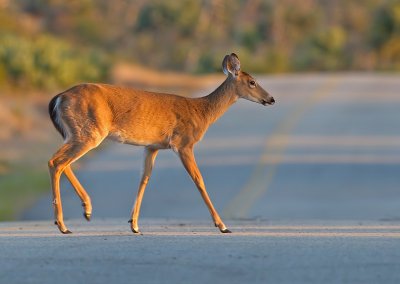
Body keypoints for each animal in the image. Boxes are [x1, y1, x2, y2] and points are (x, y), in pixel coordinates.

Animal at [47, 52, 276, 233]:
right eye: (252, 81)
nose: (271, 99)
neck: (202, 112)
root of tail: (59, 97)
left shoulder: (152, 146)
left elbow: (144, 179)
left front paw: (134, 225)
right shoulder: (183, 143)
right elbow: (198, 179)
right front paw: (222, 225)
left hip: (76, 133)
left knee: (62, 162)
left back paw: (86, 210)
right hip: (89, 132)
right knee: (56, 162)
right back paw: (63, 225)